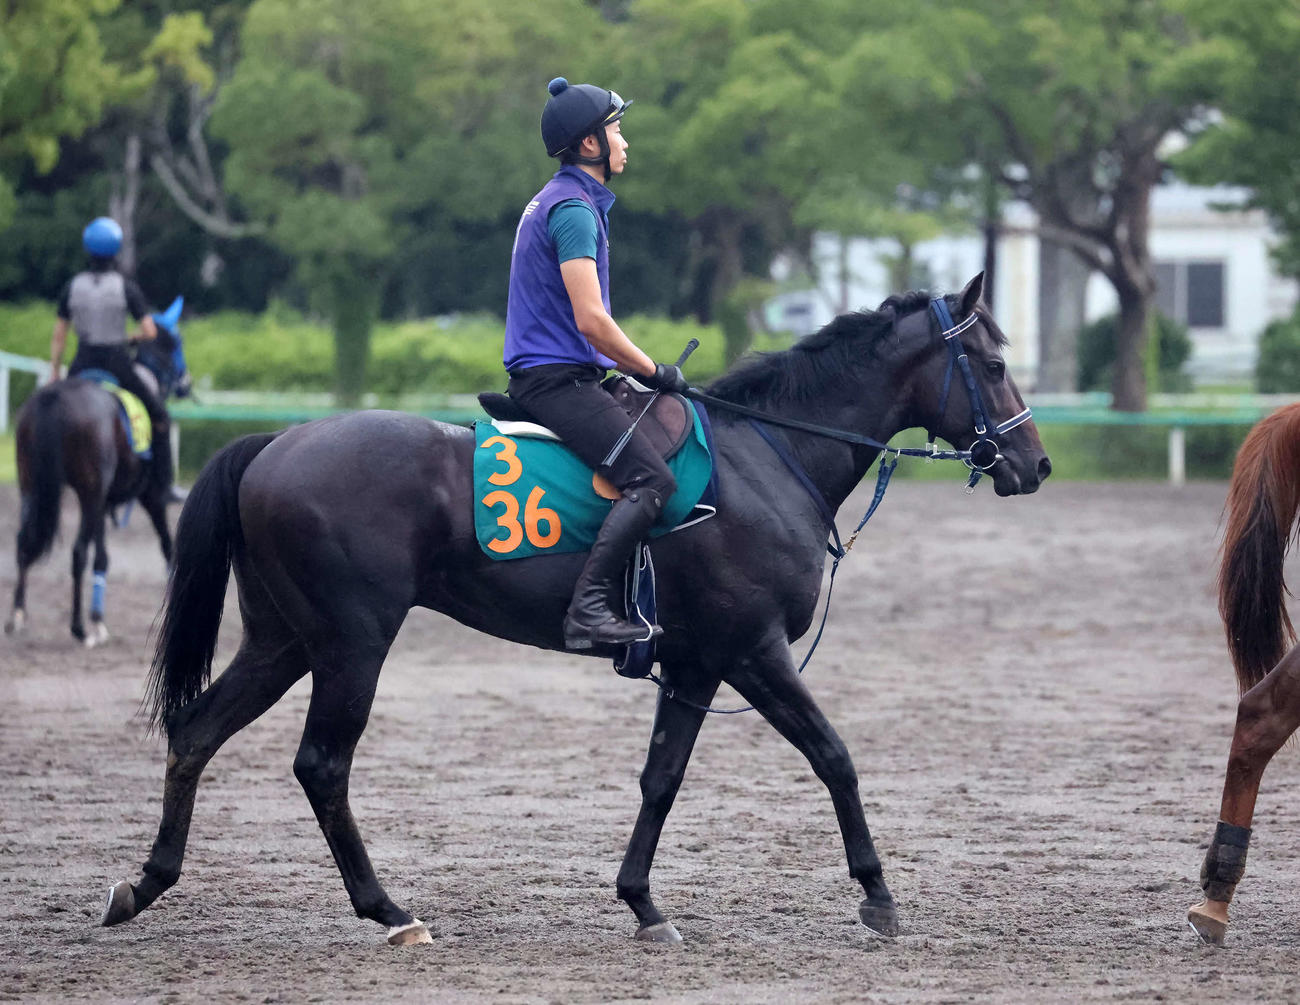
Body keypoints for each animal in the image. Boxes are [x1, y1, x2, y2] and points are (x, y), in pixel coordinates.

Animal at [5, 300, 190, 645]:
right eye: (177, 342)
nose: (186, 383)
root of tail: (56, 397)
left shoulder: (104, 503)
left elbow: (102, 556)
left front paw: (99, 618)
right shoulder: (148, 497)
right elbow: (167, 545)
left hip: (31, 486)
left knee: (24, 542)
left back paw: (18, 616)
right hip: (89, 493)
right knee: (78, 552)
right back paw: (77, 627)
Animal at [100, 273, 1051, 946]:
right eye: (995, 366)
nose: (1034, 464)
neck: (766, 456)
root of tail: (276, 443)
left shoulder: (697, 663)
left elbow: (662, 778)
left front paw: (642, 903)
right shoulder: (753, 652)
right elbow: (835, 756)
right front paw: (879, 894)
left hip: (283, 641)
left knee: (196, 731)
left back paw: (143, 884)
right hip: (350, 644)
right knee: (321, 765)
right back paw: (387, 909)